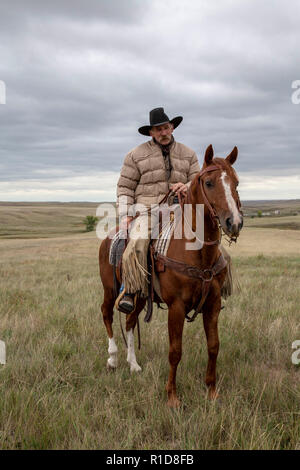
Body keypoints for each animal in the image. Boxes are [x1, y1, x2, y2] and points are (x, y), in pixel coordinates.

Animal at [99, 144, 243, 408]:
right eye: (209, 183)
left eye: (236, 183)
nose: (234, 222)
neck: (197, 252)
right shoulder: (176, 307)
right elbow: (175, 351)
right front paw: (172, 397)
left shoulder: (213, 304)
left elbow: (214, 346)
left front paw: (211, 391)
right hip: (110, 289)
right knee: (107, 314)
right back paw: (113, 359)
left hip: (140, 296)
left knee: (130, 321)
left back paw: (133, 364)